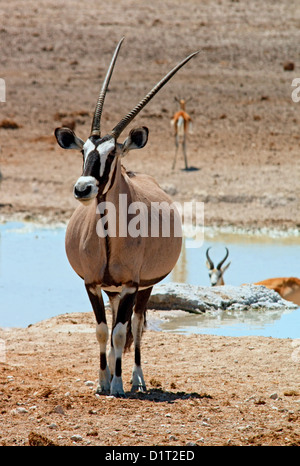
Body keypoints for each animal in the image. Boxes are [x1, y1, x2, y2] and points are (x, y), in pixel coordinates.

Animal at [55, 38, 198, 396]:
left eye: (113, 154)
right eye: (83, 151)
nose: (83, 188)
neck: (109, 237)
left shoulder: (132, 285)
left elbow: (121, 332)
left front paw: (118, 385)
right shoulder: (93, 284)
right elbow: (102, 331)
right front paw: (102, 382)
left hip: (144, 288)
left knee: (136, 325)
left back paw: (137, 379)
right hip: (114, 291)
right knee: (119, 327)